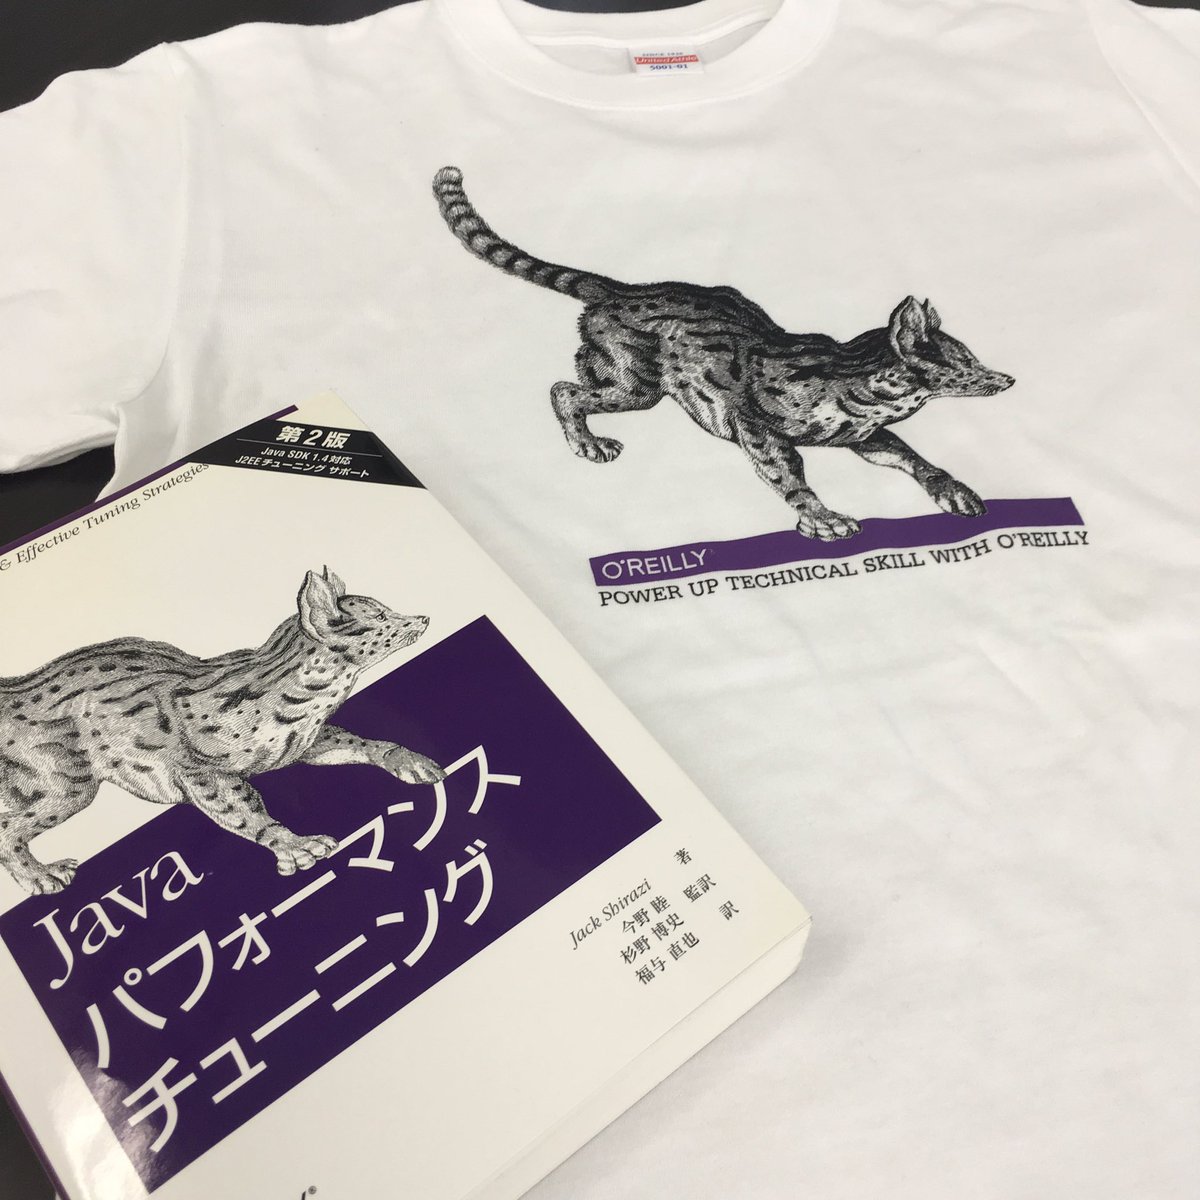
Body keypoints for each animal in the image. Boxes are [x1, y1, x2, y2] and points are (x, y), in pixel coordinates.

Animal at [0, 568, 443, 895]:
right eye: (382, 618)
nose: (424, 617)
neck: (313, 693)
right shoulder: (200, 769)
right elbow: (243, 809)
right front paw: (295, 845)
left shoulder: (303, 742)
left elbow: (360, 741)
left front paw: (408, 760)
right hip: (65, 784)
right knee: (8, 831)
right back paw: (41, 876)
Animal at [433, 165, 1015, 540]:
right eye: (961, 364)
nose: (1007, 380)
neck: (863, 392)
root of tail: (623, 288)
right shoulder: (755, 424)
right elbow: (788, 474)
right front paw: (821, 517)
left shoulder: (865, 435)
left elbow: (913, 457)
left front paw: (952, 487)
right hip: (637, 384)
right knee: (564, 389)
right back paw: (586, 441)